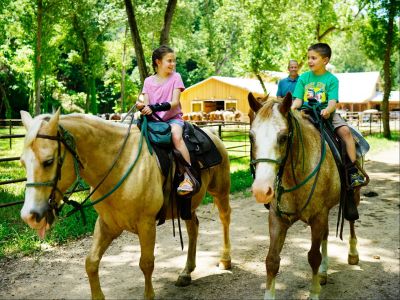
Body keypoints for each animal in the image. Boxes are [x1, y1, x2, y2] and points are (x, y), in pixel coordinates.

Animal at [19, 110, 231, 300]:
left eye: (48, 161)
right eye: (22, 162)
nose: (29, 216)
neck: (119, 166)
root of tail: (213, 134)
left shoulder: (146, 224)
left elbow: (146, 263)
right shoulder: (106, 225)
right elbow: (91, 262)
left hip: (220, 192)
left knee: (224, 218)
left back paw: (225, 260)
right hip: (186, 206)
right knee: (193, 228)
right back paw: (186, 272)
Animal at [248, 92, 360, 298]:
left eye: (284, 137)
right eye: (251, 137)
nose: (261, 190)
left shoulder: (318, 217)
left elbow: (313, 257)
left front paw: (314, 293)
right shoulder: (277, 219)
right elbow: (272, 260)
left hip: (353, 196)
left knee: (351, 221)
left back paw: (353, 254)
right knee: (326, 234)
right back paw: (324, 272)